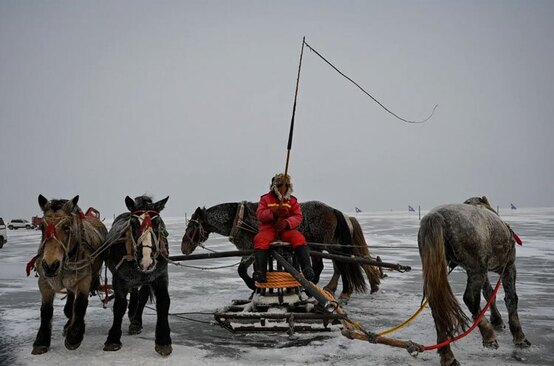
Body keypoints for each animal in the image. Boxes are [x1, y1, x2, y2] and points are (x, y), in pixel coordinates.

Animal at [32, 194, 106, 354]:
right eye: (41, 227)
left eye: (66, 227)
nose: (50, 266)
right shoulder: (44, 281)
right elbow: (46, 310)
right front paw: (41, 341)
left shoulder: (84, 279)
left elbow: (80, 304)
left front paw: (74, 336)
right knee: (70, 297)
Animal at [102, 196, 171, 356]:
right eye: (133, 223)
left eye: (157, 222)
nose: (146, 260)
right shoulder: (119, 279)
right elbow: (119, 306)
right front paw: (113, 339)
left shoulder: (160, 277)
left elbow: (163, 302)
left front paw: (163, 340)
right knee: (134, 293)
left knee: (142, 296)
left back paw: (136, 320)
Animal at [181, 200, 380, 300]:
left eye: (192, 226)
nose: (183, 247)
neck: (239, 219)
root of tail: (333, 209)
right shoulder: (251, 251)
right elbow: (247, 269)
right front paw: (255, 288)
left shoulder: (251, 249)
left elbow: (243, 271)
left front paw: (253, 286)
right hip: (333, 246)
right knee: (343, 264)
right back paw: (342, 290)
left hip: (319, 245)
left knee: (324, 267)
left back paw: (313, 289)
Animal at [418, 197, 532, 366]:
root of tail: (436, 217)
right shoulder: (508, 267)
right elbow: (511, 298)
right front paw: (519, 337)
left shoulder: (483, 270)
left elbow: (489, 293)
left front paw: (497, 320)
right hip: (477, 269)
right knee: (470, 298)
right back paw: (488, 335)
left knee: (438, 306)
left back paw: (447, 355)